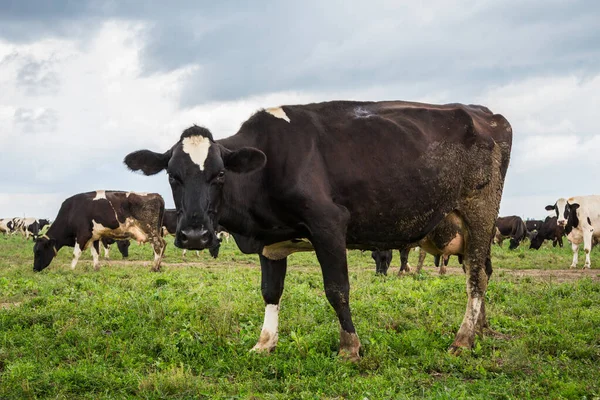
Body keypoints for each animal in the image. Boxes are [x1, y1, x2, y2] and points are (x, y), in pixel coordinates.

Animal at [34, 191, 168, 272]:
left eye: (39, 252)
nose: (34, 269)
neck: (71, 212)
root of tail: (156, 195)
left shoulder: (82, 235)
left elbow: (76, 253)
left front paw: (71, 269)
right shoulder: (94, 236)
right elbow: (95, 253)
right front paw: (96, 268)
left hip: (150, 229)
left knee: (158, 245)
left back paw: (154, 267)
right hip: (155, 231)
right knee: (164, 243)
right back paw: (158, 266)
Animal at [124, 99, 512, 360]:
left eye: (219, 174)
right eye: (173, 175)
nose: (193, 236)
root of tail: (485, 114)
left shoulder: (328, 224)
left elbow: (337, 289)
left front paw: (349, 347)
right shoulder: (271, 243)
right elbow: (270, 291)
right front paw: (264, 342)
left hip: (479, 211)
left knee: (475, 276)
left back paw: (463, 339)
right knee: (482, 270)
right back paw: (482, 329)